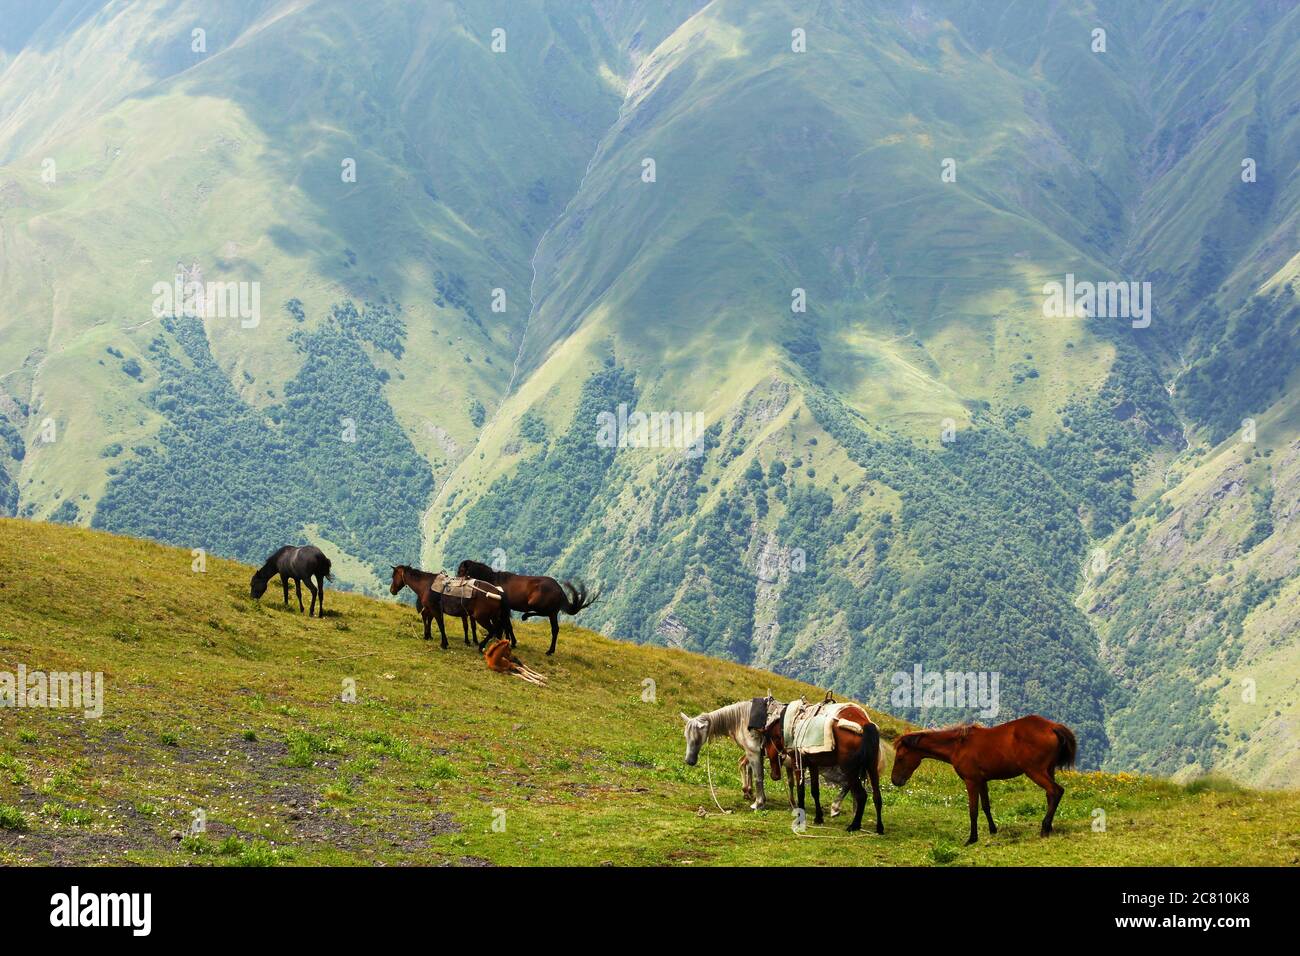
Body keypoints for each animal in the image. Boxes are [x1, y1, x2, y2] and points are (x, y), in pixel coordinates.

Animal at [457, 560, 597, 655]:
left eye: (461, 571)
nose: (457, 581)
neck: (493, 580)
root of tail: (560, 590)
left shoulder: (505, 608)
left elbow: (506, 625)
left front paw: (510, 642)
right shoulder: (505, 609)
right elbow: (507, 625)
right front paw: (510, 641)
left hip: (540, 606)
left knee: (541, 614)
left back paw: (526, 616)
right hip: (553, 613)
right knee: (555, 629)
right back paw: (550, 650)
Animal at [763, 702, 884, 833]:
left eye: (766, 742)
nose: (774, 776)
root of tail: (864, 723)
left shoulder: (798, 762)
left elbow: (801, 791)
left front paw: (801, 818)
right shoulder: (813, 765)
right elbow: (815, 791)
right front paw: (818, 818)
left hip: (850, 769)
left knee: (862, 795)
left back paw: (854, 825)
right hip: (872, 767)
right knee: (877, 796)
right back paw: (879, 828)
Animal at [890, 715, 1077, 845]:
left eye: (900, 757)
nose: (895, 780)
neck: (959, 745)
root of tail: (1052, 727)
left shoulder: (971, 781)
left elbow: (973, 810)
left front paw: (972, 838)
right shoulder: (982, 781)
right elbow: (986, 806)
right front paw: (993, 830)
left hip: (1035, 771)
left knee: (1056, 791)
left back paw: (1045, 828)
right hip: (1048, 770)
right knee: (1050, 795)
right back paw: (1049, 826)